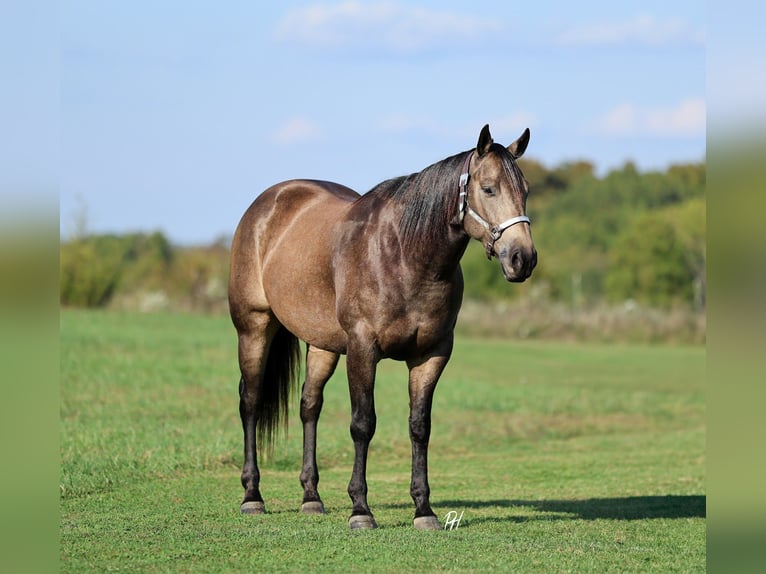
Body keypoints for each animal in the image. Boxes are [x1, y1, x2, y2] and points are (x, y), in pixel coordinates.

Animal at [228, 124, 537, 530]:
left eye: (526, 191)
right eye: (488, 189)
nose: (522, 259)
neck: (403, 254)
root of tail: (268, 203)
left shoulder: (432, 354)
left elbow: (419, 426)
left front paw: (424, 509)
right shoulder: (363, 349)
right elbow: (363, 424)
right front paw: (361, 509)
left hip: (323, 345)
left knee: (310, 406)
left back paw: (311, 497)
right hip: (254, 327)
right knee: (250, 401)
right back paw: (252, 495)